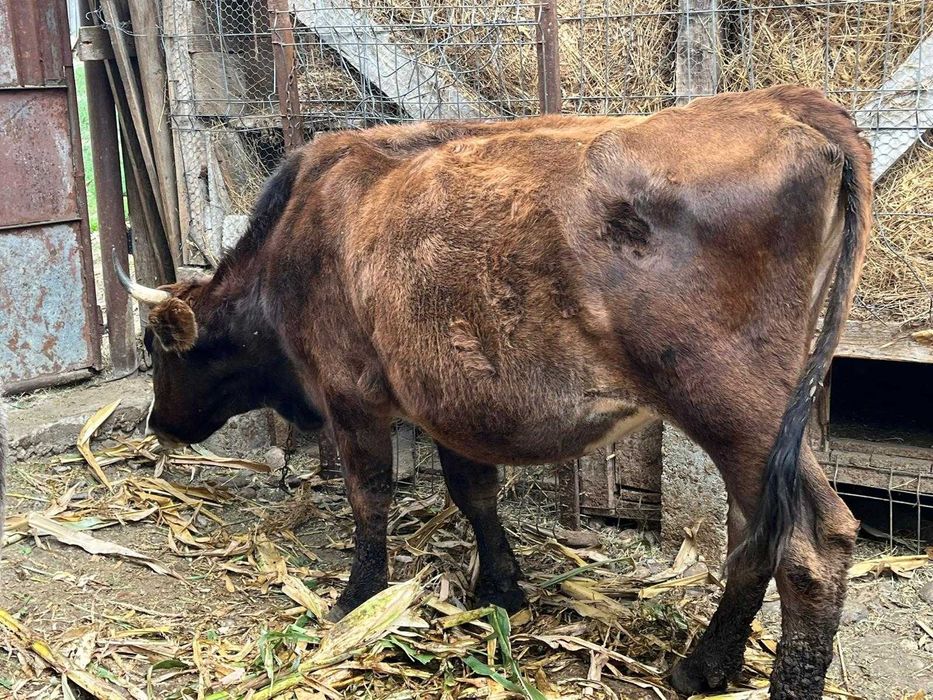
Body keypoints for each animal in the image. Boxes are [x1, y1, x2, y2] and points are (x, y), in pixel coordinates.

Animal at [116, 85, 872, 699]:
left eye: (153, 347)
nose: (159, 424)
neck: (302, 231)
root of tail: (791, 106)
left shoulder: (351, 394)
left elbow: (369, 496)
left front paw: (358, 596)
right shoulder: (447, 400)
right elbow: (472, 490)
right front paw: (502, 586)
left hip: (731, 403)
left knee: (810, 543)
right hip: (762, 423)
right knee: (754, 531)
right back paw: (704, 666)